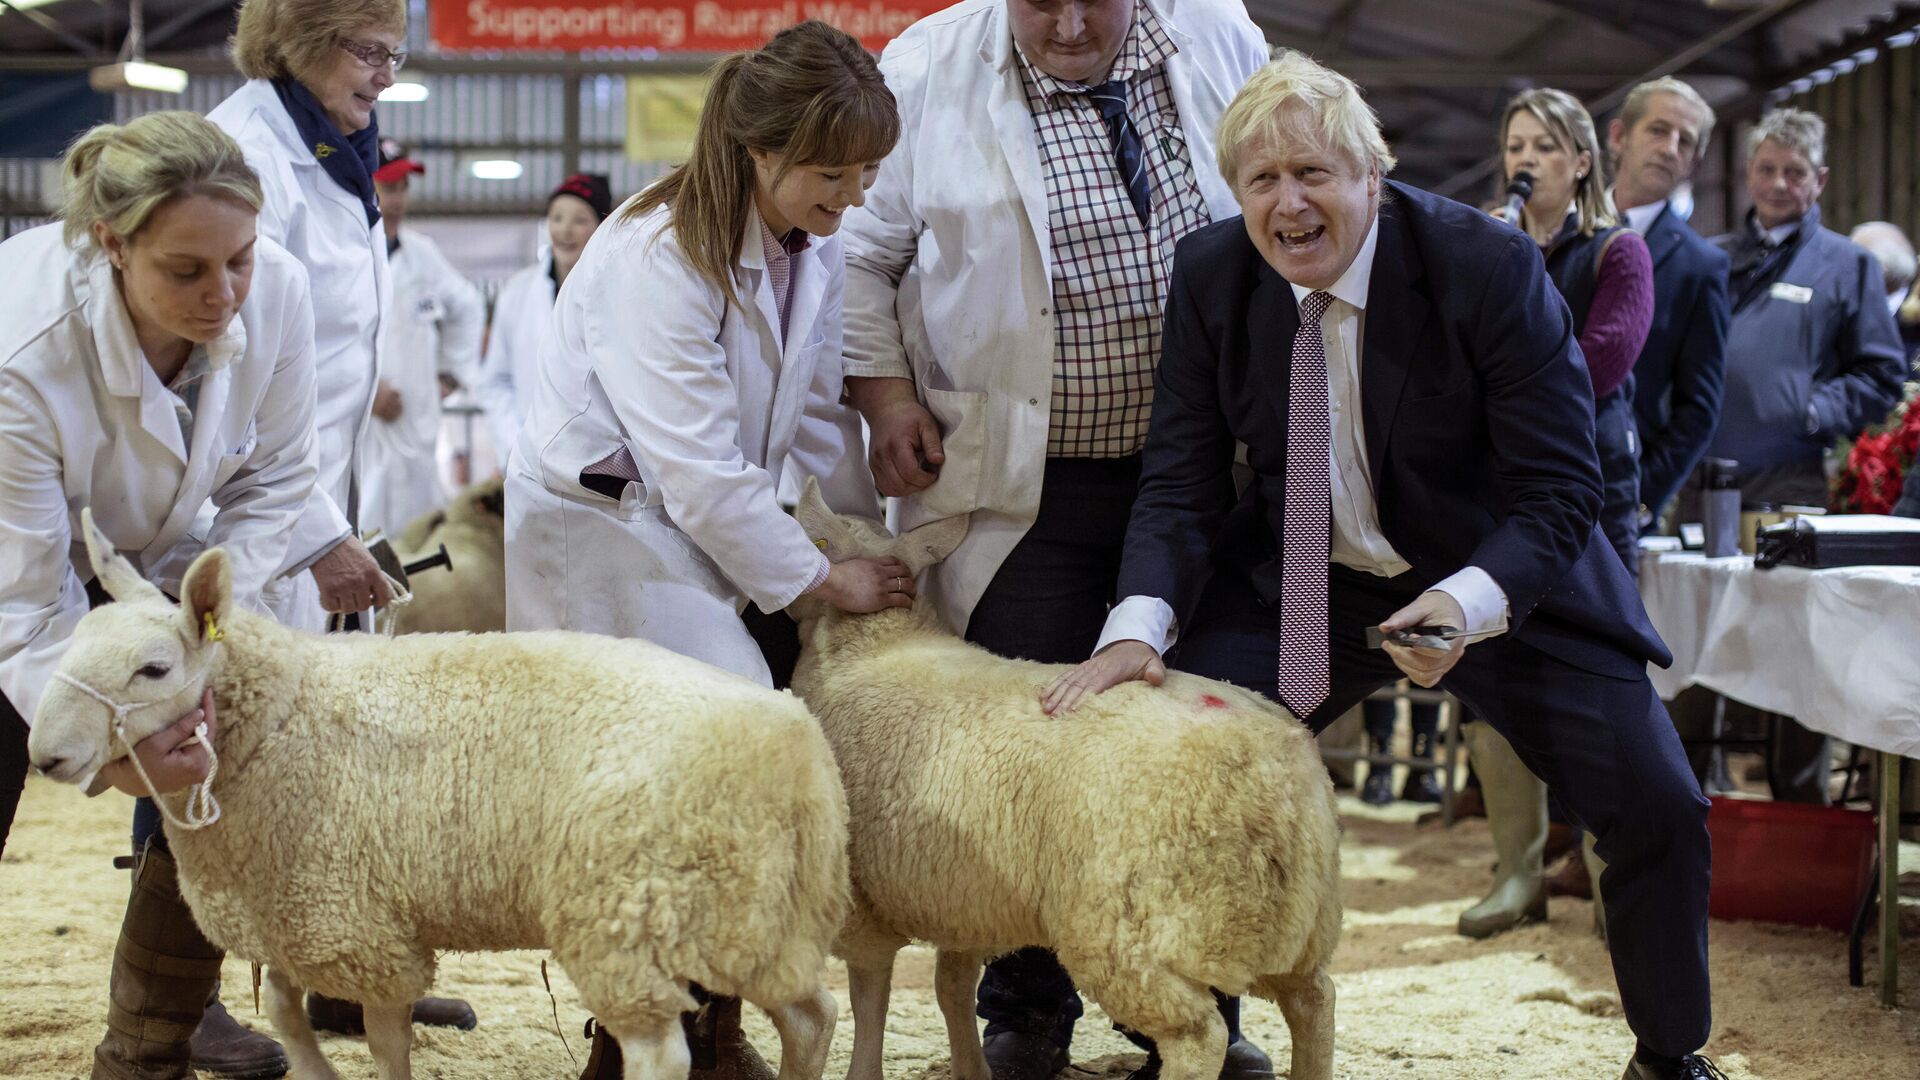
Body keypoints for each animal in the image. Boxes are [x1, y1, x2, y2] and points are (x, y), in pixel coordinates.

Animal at [26, 507, 852, 1076]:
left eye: (154, 669)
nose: (44, 753)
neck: (282, 715)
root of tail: (797, 745)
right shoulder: (298, 913)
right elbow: (285, 1011)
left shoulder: (358, 926)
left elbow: (384, 1041)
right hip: (748, 919)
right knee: (812, 1015)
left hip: (626, 913)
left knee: (663, 1051)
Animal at [787, 480, 1344, 1080]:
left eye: (816, 539)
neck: (873, 642)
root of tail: (1277, 775)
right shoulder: (962, 894)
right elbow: (951, 986)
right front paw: (972, 1067)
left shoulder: (862, 899)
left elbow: (871, 995)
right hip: (1296, 925)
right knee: (1315, 1000)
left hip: (1133, 932)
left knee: (1200, 1035)